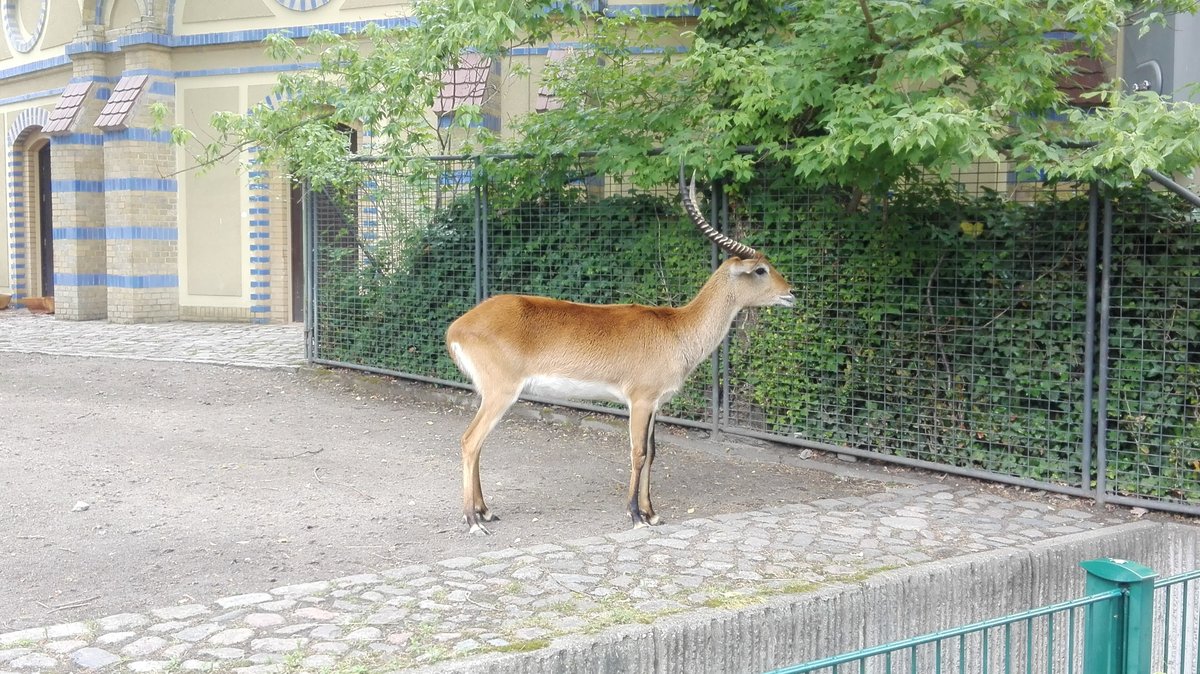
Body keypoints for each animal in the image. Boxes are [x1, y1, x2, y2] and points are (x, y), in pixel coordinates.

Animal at [446, 172, 792, 534]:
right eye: (761, 269)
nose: (791, 292)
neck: (676, 329)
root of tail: (457, 327)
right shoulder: (639, 400)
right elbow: (637, 453)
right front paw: (636, 515)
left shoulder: (655, 404)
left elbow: (653, 453)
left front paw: (652, 513)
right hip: (501, 393)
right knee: (470, 441)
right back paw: (473, 521)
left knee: (478, 444)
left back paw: (485, 511)